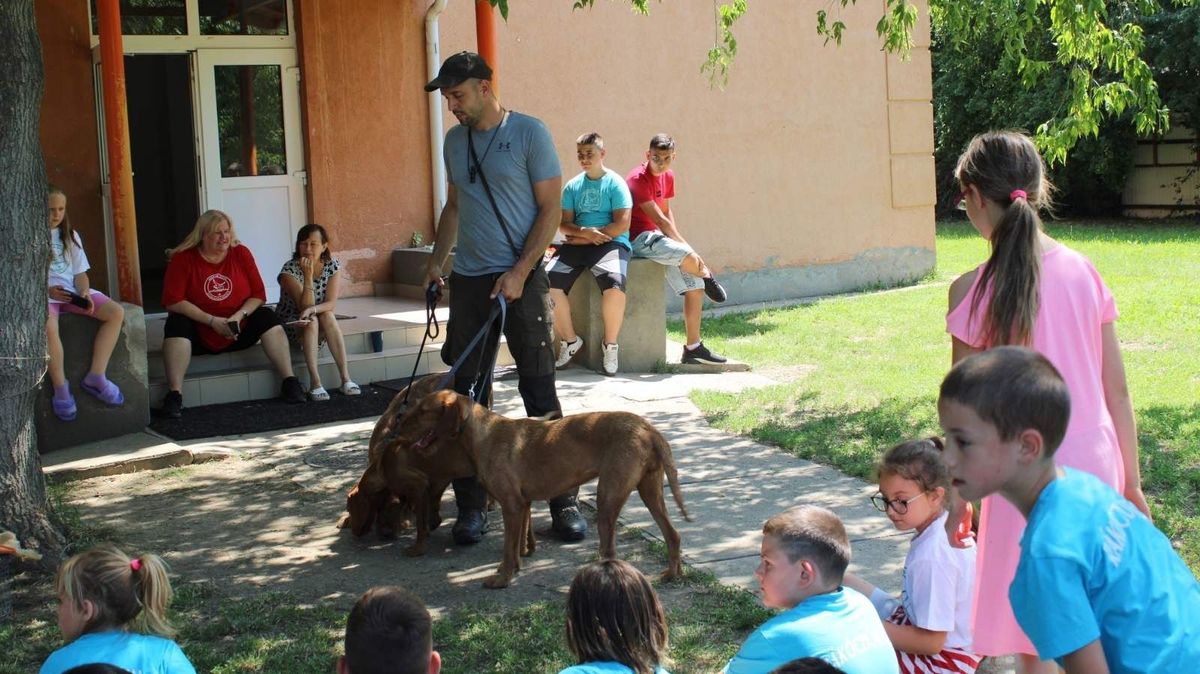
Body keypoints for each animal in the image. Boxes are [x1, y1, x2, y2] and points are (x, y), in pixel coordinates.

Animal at [379, 388, 691, 587]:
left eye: (423, 411)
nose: (395, 431)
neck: (482, 435)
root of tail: (649, 429)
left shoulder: (512, 505)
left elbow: (508, 548)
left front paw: (502, 579)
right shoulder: (523, 504)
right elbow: (518, 546)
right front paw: (513, 569)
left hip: (608, 496)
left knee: (611, 551)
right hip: (649, 490)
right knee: (673, 535)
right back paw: (672, 575)